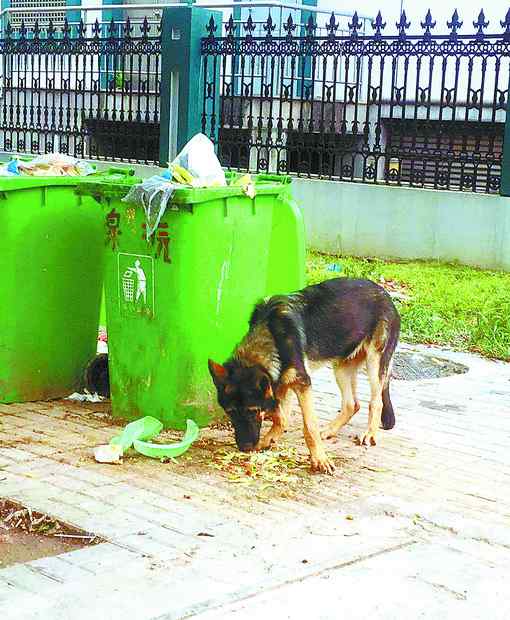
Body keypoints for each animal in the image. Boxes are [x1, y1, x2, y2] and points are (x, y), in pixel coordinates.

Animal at [207, 278, 398, 474]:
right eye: (230, 412)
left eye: (253, 411)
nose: (244, 447)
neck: (271, 335)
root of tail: (385, 293)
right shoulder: (281, 383)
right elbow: (282, 417)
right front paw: (268, 439)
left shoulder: (302, 384)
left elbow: (309, 427)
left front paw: (320, 459)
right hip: (341, 368)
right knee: (352, 404)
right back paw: (330, 430)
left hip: (374, 362)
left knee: (376, 402)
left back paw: (369, 433)